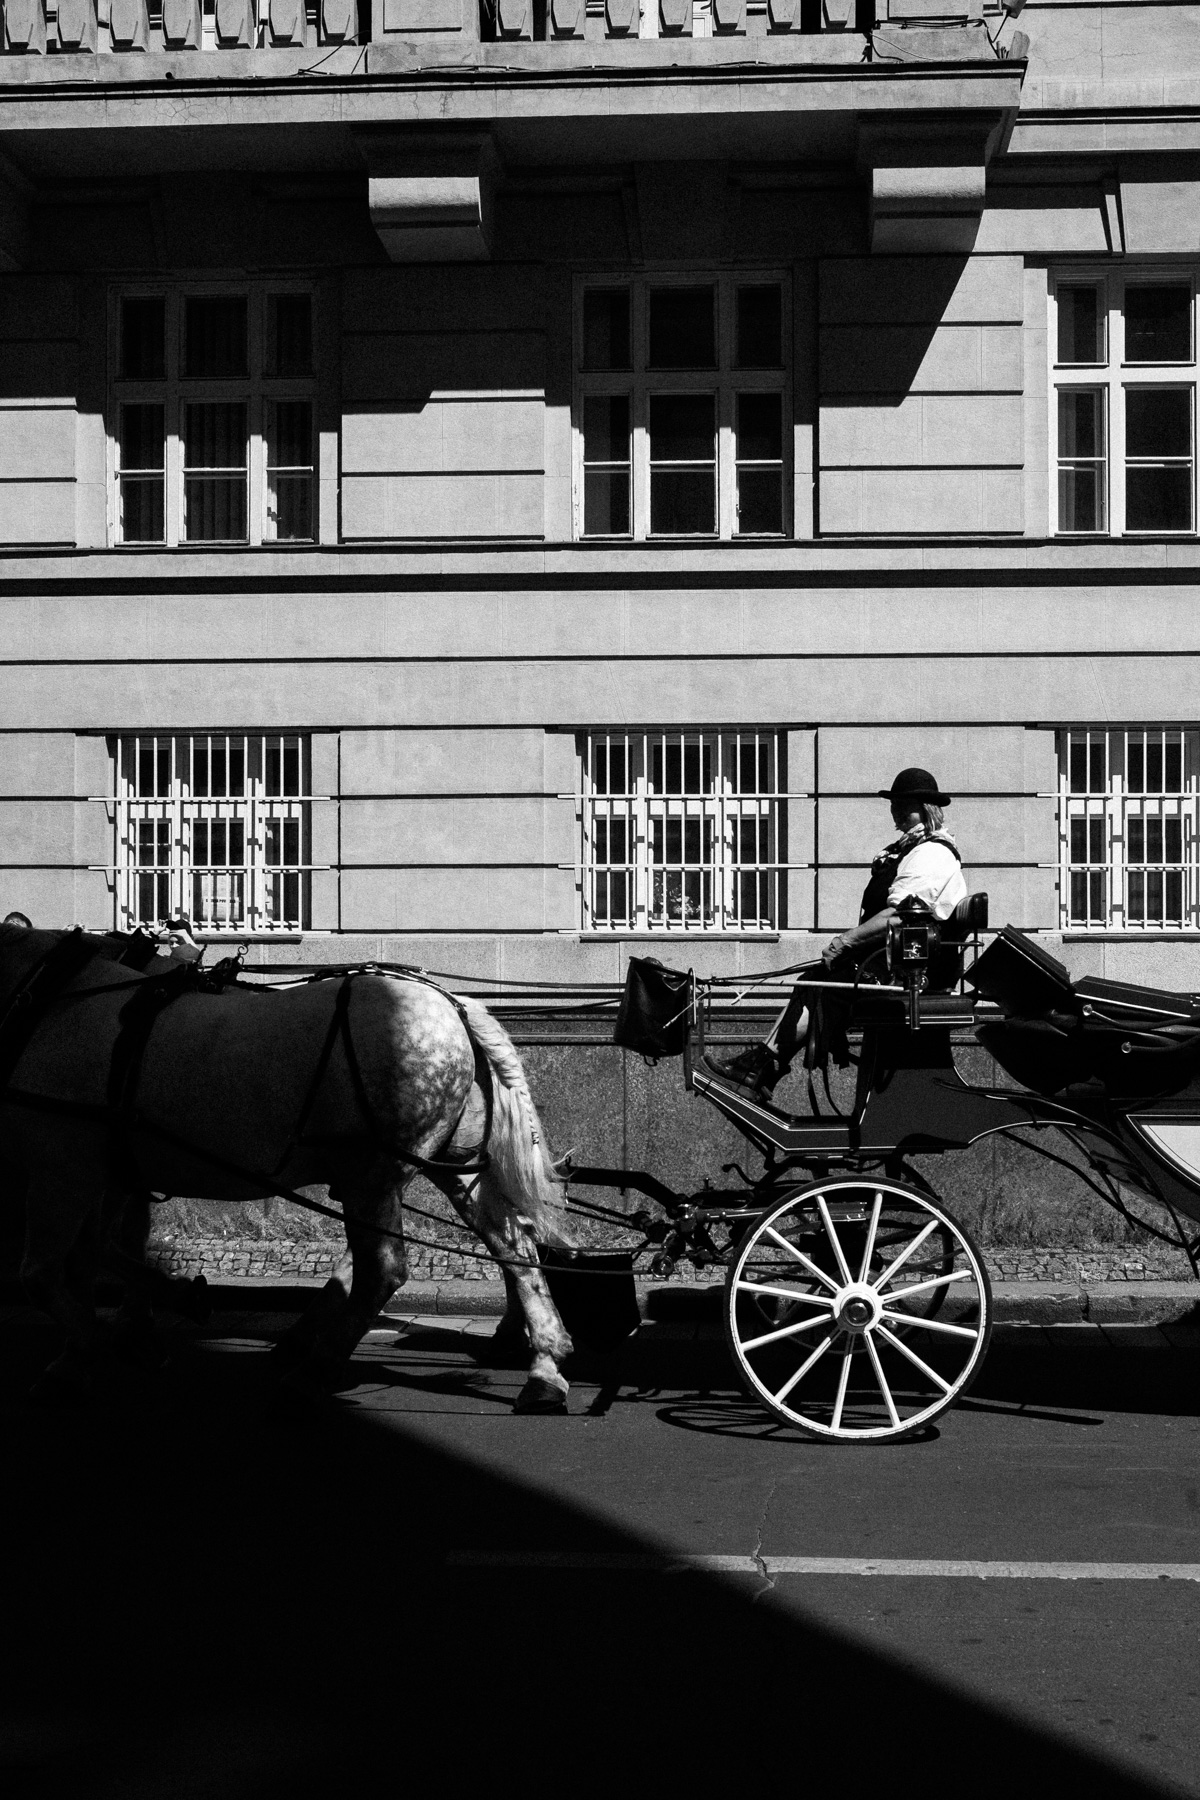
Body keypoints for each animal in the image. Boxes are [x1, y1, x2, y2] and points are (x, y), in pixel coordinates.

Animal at [0, 920, 575, 1411]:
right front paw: (138, 1324)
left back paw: (312, 1372)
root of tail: (453, 1006)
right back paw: (544, 1367)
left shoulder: (62, 1166)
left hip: (370, 1173)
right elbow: (93, 1255)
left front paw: (84, 1352)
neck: (55, 1001)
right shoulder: (108, 1172)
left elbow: (44, 1272)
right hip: (453, 1167)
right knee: (514, 1245)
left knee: (383, 1270)